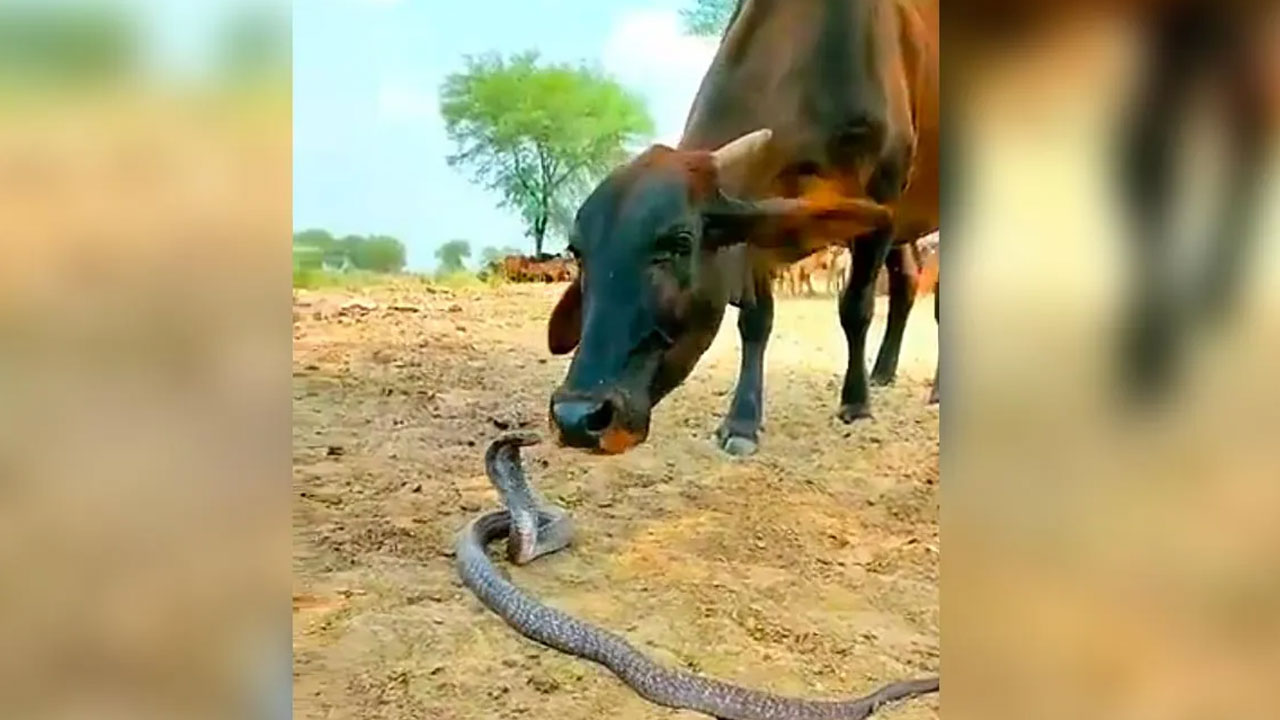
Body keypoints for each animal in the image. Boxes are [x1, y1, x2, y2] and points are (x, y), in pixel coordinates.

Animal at [545, 0, 939, 455]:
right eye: (578, 252)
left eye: (681, 242)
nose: (576, 416)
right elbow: (756, 320)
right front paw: (742, 421)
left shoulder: (884, 195)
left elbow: (855, 307)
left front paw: (855, 403)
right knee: (907, 280)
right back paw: (884, 371)